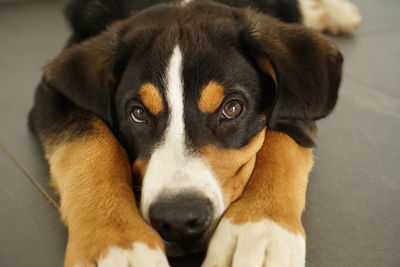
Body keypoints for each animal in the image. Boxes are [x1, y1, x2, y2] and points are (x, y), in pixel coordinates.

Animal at [28, 0, 360, 267]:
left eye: (232, 108)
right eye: (138, 113)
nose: (178, 219)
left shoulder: (296, 108)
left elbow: (282, 140)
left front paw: (258, 232)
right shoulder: (55, 93)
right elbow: (89, 145)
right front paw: (117, 243)